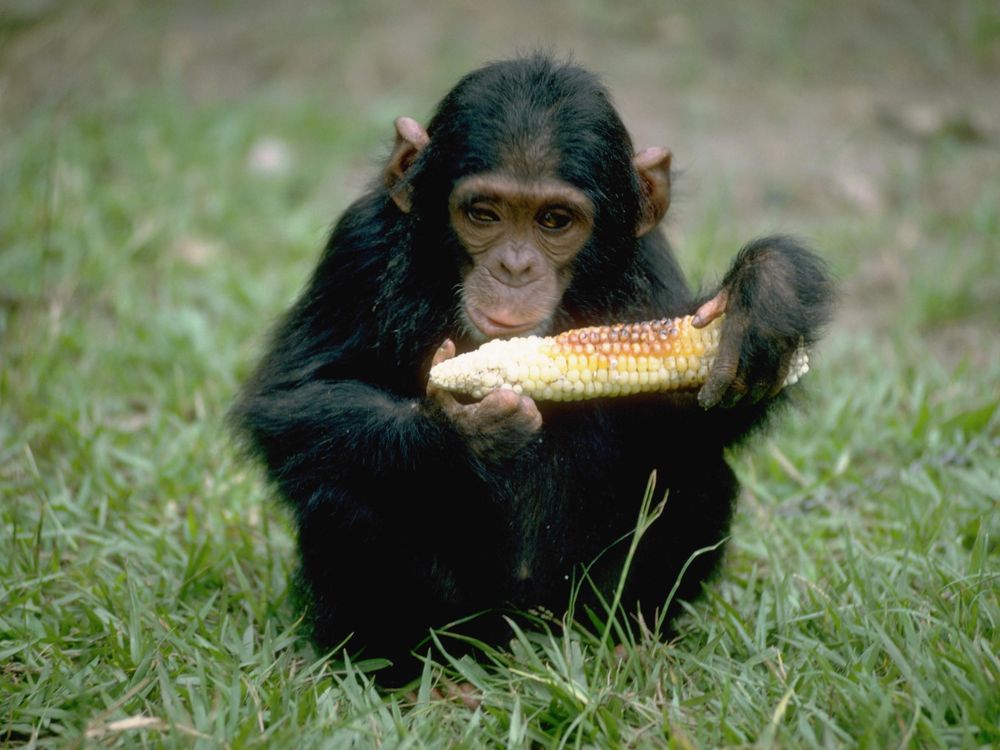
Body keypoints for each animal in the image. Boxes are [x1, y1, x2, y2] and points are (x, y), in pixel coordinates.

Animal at [230, 55, 832, 684]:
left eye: (555, 220)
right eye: (484, 214)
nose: (514, 267)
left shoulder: (652, 267)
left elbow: (689, 414)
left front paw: (767, 293)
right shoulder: (357, 246)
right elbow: (294, 398)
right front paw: (462, 432)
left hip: (570, 607)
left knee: (695, 474)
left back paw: (628, 642)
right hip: (473, 621)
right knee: (350, 493)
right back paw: (408, 672)